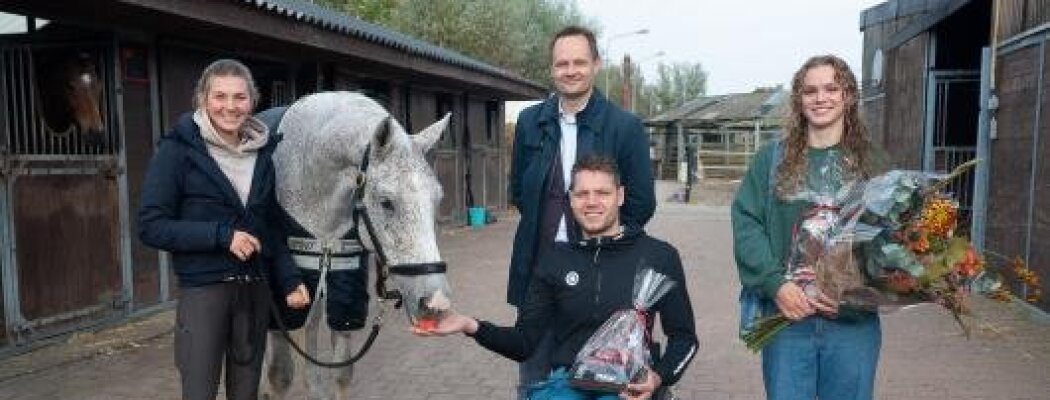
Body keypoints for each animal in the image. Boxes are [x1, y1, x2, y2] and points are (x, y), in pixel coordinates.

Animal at [261, 91, 451, 396]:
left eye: (438, 198)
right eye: (386, 202)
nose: (436, 303)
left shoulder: (343, 296)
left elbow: (342, 373)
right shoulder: (280, 307)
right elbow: (280, 376)